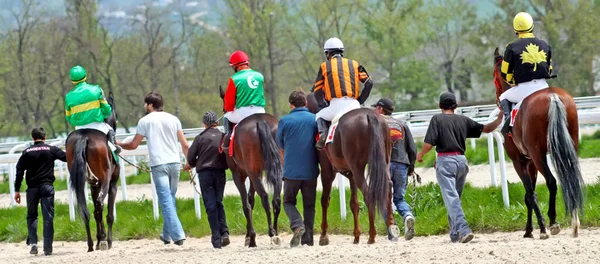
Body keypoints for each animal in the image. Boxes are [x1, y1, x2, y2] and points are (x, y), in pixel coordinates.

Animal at [66, 92, 120, 252]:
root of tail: (84, 137)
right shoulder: (112, 183)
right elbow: (108, 213)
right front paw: (106, 240)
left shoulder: (93, 185)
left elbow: (96, 211)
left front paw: (99, 239)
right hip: (106, 180)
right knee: (100, 204)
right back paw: (102, 242)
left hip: (80, 181)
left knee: (87, 210)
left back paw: (90, 244)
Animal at [218, 87, 284, 248]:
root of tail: (260, 121)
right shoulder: (256, 173)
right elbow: (251, 200)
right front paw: (248, 235)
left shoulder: (239, 175)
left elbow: (246, 204)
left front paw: (251, 237)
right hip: (275, 170)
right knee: (276, 199)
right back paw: (276, 233)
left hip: (251, 173)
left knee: (265, 197)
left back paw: (270, 233)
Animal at [304, 93, 398, 243]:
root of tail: (369, 115)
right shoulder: (351, 173)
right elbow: (354, 203)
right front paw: (356, 235)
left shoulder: (327, 170)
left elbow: (325, 200)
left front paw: (324, 235)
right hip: (383, 162)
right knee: (387, 186)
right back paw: (391, 227)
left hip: (358, 168)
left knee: (368, 193)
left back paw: (372, 235)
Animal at [492, 47, 584, 239]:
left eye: (495, 75)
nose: (497, 97)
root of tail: (553, 97)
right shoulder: (530, 162)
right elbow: (529, 195)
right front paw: (530, 229)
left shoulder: (520, 161)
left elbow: (529, 194)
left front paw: (539, 229)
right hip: (570, 146)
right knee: (571, 179)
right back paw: (574, 224)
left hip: (538, 154)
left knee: (552, 181)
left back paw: (552, 223)